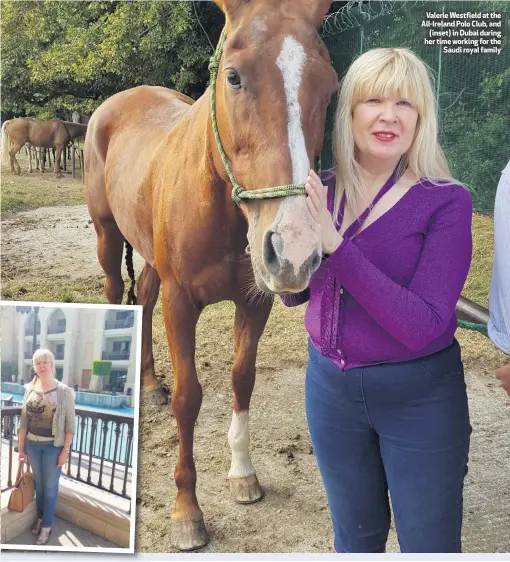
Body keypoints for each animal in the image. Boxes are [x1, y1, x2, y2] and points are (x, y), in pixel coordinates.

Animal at [84, 0, 338, 552]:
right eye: (234, 76)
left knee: (143, 299)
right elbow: (189, 399)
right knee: (119, 294)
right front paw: (187, 512)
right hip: (108, 235)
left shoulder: (255, 302)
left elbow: (242, 379)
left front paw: (243, 475)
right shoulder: (182, 304)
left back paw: (150, 382)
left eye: (330, 86)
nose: (294, 250)